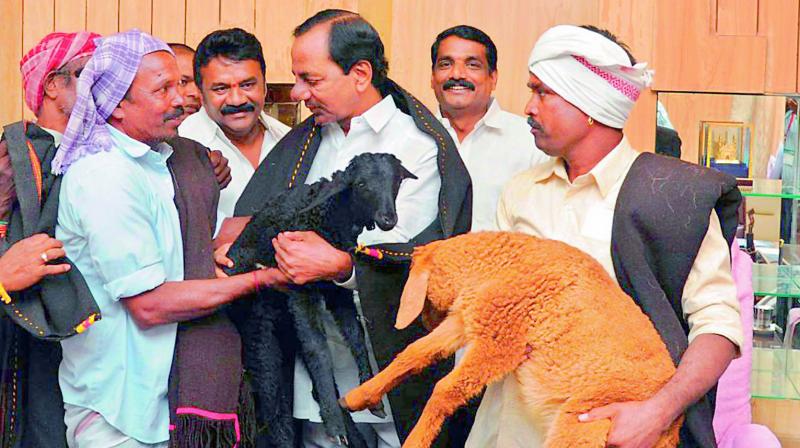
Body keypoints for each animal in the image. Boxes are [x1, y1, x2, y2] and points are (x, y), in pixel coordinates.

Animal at [222, 152, 416, 446]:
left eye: (396, 182)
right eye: (361, 184)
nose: (388, 220)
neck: (328, 217)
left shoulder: (337, 289)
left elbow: (356, 336)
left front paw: (371, 398)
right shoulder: (300, 290)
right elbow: (319, 351)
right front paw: (334, 424)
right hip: (259, 333)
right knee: (271, 400)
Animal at [340, 231, 684, 448]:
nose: (425, 321)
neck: (498, 262)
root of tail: (673, 429)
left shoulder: (501, 340)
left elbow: (447, 389)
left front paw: (414, 441)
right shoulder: (466, 318)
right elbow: (415, 353)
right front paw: (357, 398)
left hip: (586, 420)